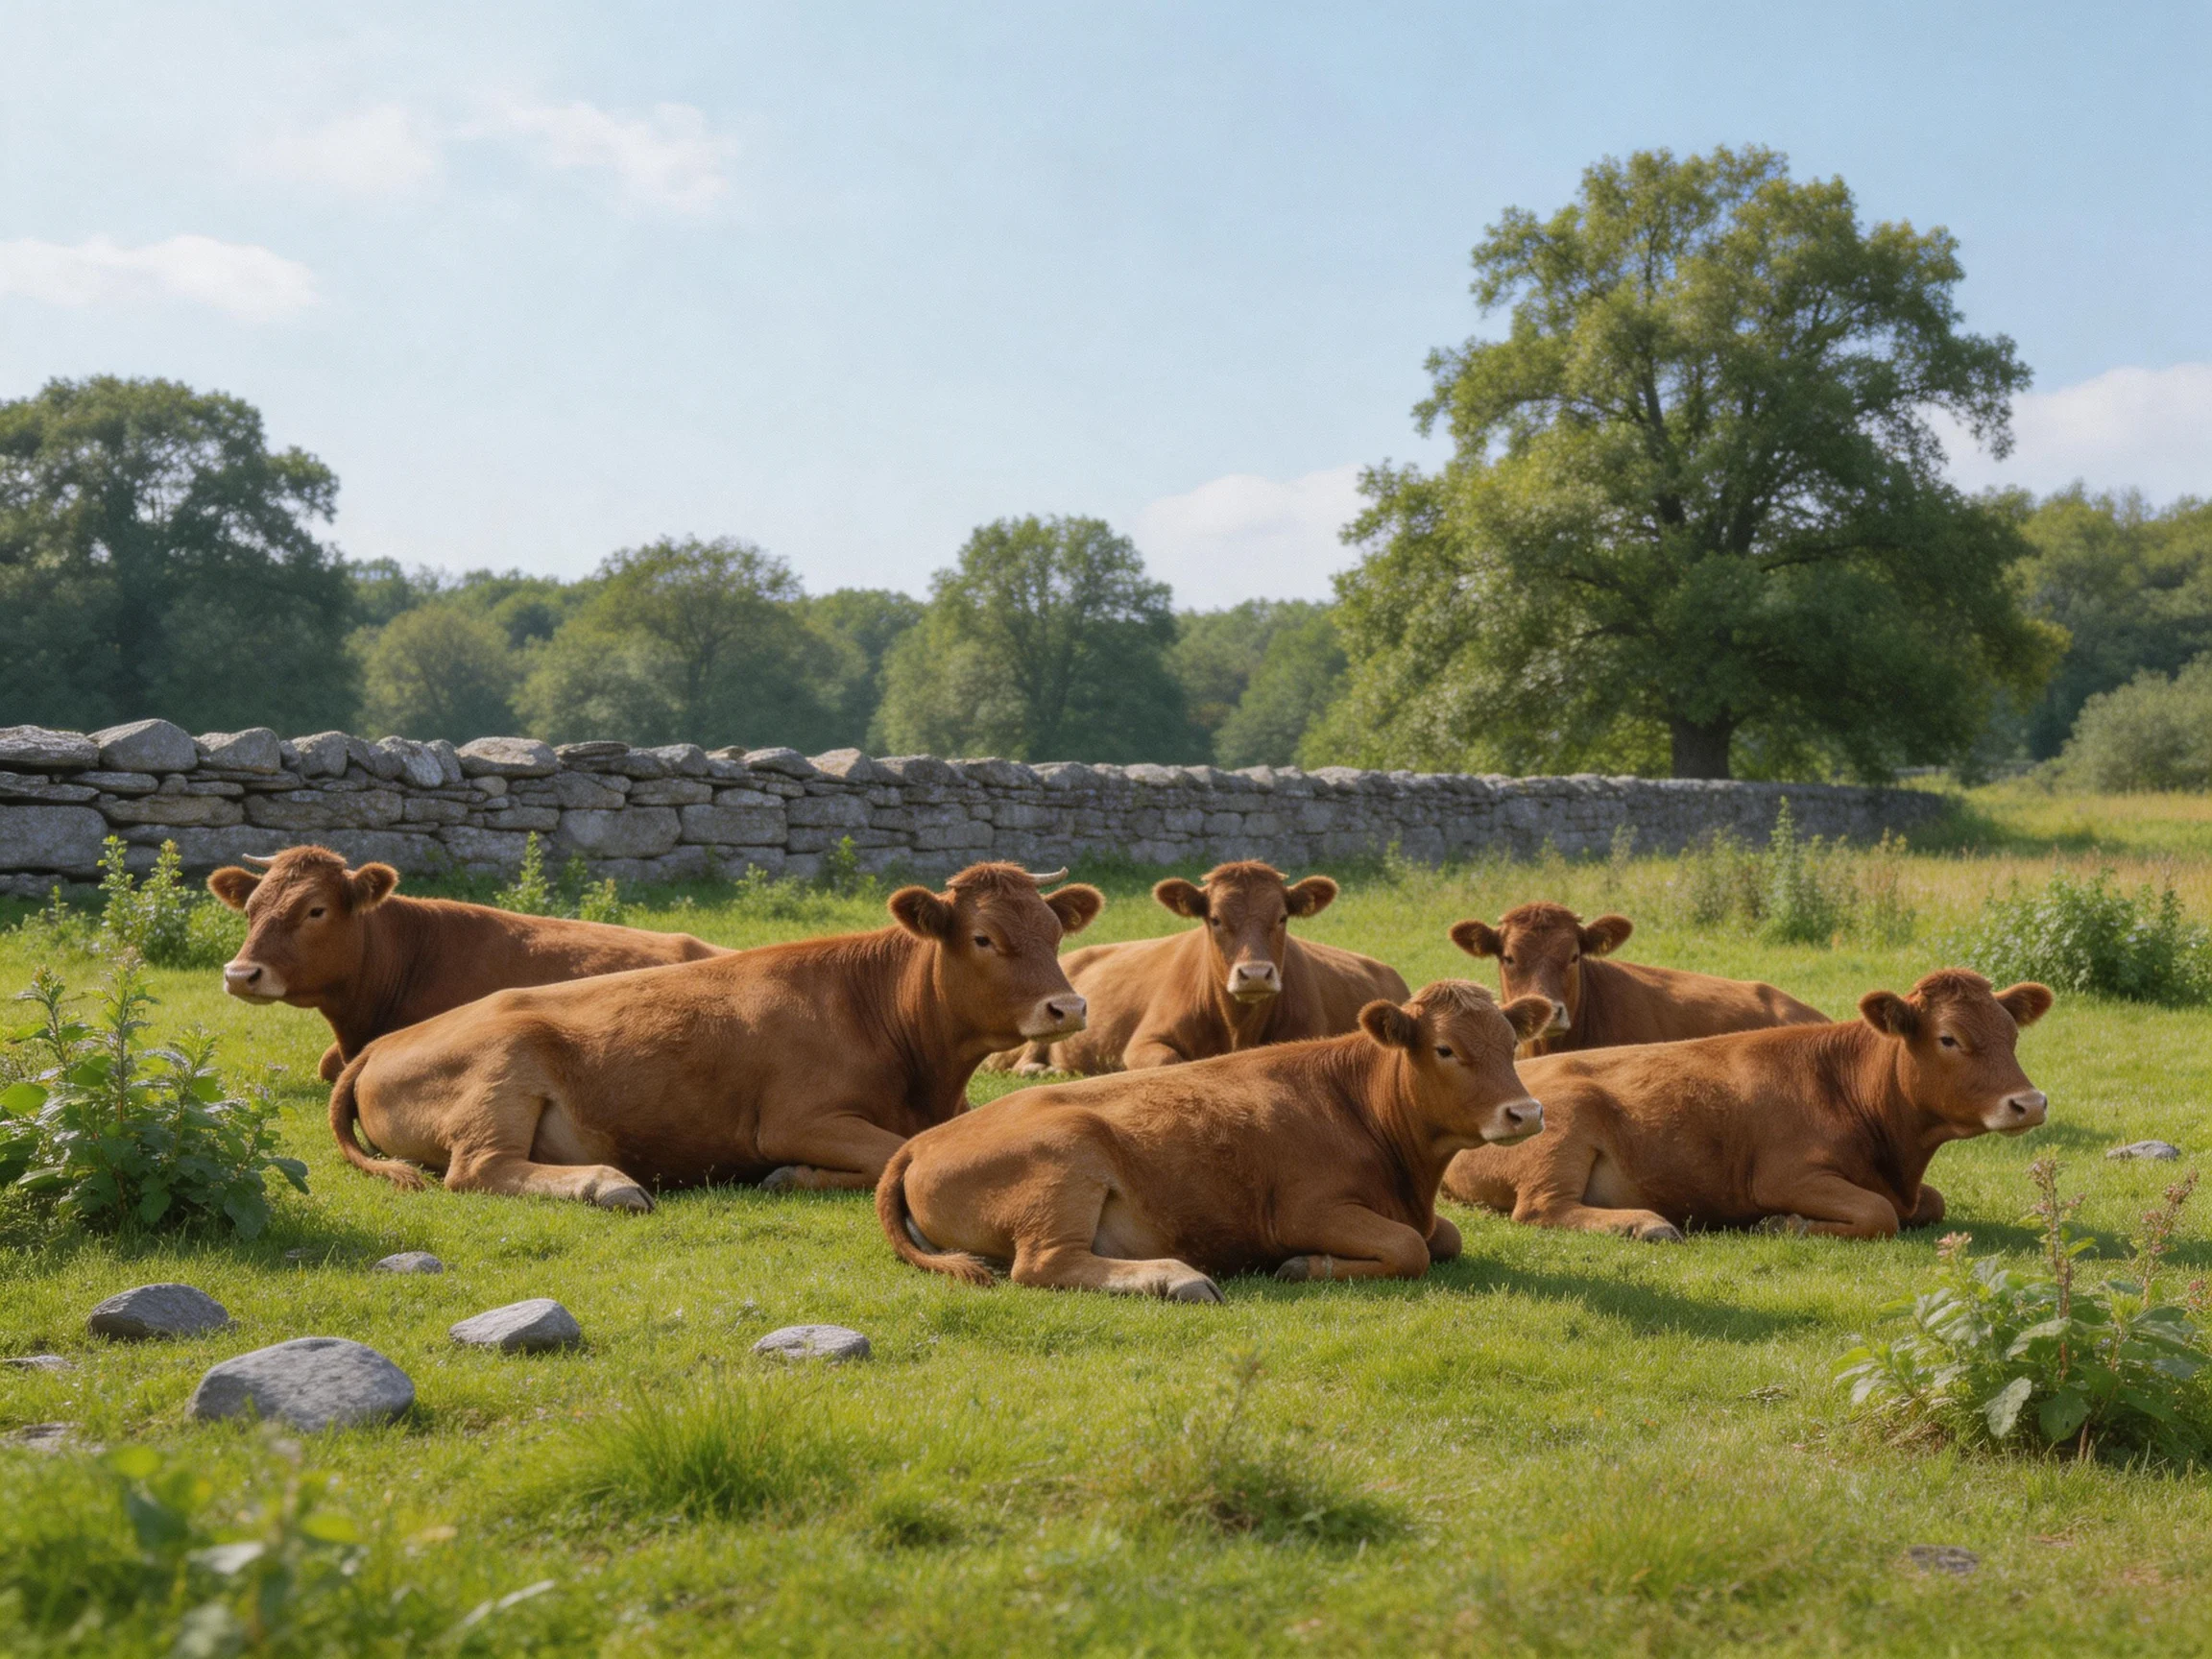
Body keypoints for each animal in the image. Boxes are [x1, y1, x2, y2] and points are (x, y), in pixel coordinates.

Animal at [325, 863, 1104, 1209]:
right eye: (983, 937)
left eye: (1055, 930)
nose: (1067, 1008)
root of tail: (379, 1045)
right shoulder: (795, 1119)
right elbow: (894, 1152)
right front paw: (796, 1174)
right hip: (502, 1070)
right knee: (478, 1169)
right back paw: (608, 1183)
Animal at [880, 980, 1558, 1300]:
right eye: (1445, 1049)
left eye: (1510, 1041)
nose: (1526, 1113)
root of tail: (921, 1142)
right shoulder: (1304, 1210)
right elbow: (1412, 1247)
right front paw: (1305, 1266)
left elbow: (1445, 1237)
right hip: (1067, 1159)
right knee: (1045, 1264)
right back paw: (1175, 1278)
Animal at [1442, 968, 2054, 1242]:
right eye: (1949, 1038)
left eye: (2011, 1034)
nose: (2029, 1103)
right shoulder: (1786, 1174)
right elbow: (1879, 1214)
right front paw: (1788, 1224)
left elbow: (1931, 1203)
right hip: (1563, 1125)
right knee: (1542, 1208)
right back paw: (1648, 1224)